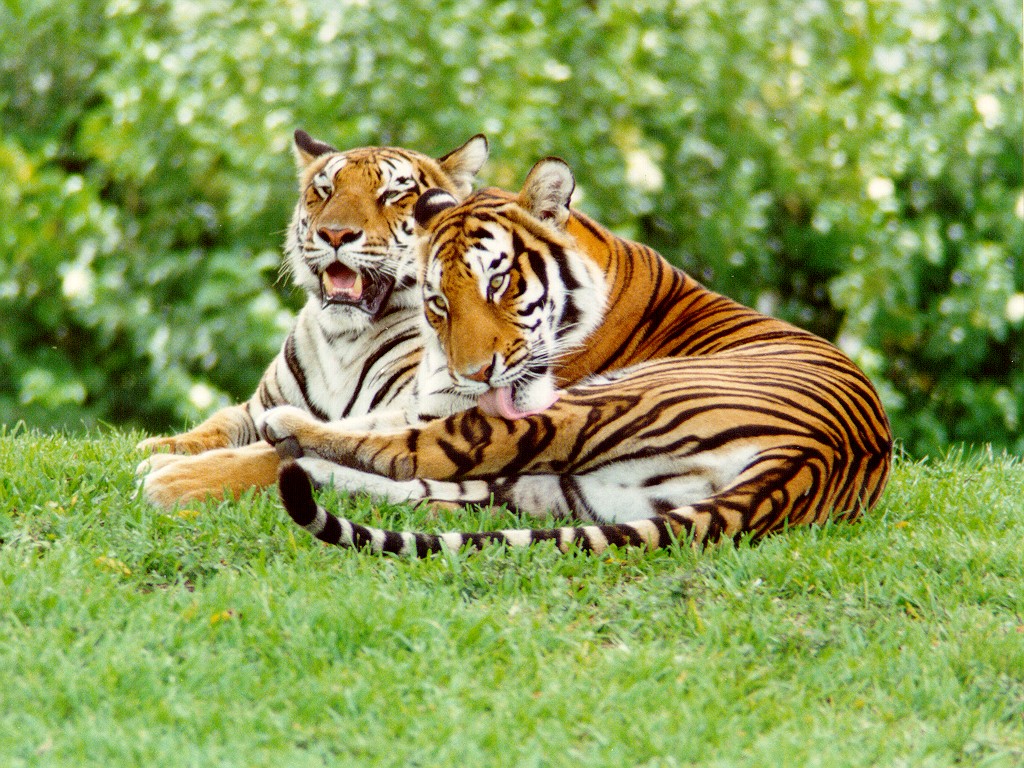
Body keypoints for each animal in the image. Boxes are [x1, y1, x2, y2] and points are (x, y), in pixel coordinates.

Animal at [136, 128, 489, 507]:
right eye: (325, 191)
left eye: (392, 194)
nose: (335, 234)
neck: (343, 339)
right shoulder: (260, 407)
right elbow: (219, 423)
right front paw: (158, 447)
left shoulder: (411, 413)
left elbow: (273, 453)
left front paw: (172, 479)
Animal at [258, 156, 893, 554]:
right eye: (438, 302)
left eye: (498, 283)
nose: (473, 372)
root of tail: (807, 461)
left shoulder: (453, 404)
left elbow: (387, 435)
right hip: (566, 490)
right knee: (446, 490)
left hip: (596, 402)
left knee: (416, 458)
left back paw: (290, 435)